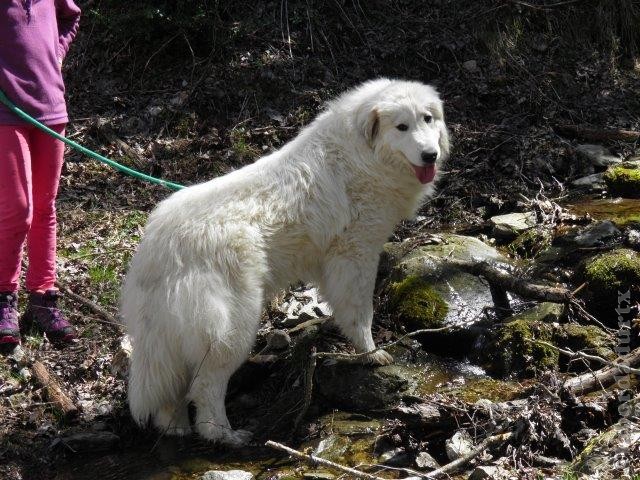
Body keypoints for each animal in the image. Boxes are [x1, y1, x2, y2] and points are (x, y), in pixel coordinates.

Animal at [121, 77, 450, 444]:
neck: (362, 154)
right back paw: (225, 435)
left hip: (174, 341)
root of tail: (157, 249)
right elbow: (360, 314)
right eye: (401, 126)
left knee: (174, 391)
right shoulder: (355, 254)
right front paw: (369, 352)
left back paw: (175, 427)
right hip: (232, 329)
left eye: (427, 119)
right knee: (205, 389)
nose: (431, 154)